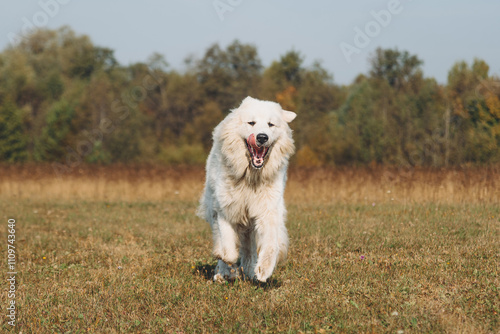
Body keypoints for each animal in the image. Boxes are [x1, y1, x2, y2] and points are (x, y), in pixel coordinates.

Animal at [197, 96, 294, 282]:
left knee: (249, 247)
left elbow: (270, 244)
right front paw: (226, 263)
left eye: (271, 124)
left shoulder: (268, 210)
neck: (250, 177)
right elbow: (228, 247)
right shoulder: (225, 209)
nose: (262, 137)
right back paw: (222, 273)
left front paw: (263, 270)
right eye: (251, 123)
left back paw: (250, 271)